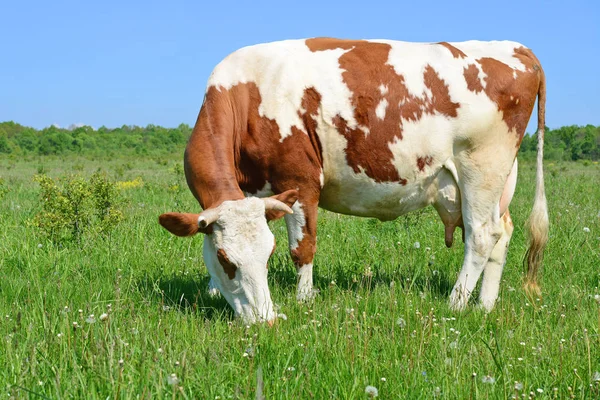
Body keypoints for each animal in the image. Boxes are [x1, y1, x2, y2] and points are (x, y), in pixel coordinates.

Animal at [158, 36, 548, 324]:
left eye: (267, 256)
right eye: (225, 259)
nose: (264, 320)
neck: (247, 93)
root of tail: (515, 47)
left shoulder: (300, 180)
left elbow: (302, 248)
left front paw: (304, 300)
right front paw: (212, 290)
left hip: (481, 167)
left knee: (482, 235)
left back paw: (456, 304)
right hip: (494, 181)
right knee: (502, 232)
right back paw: (484, 305)